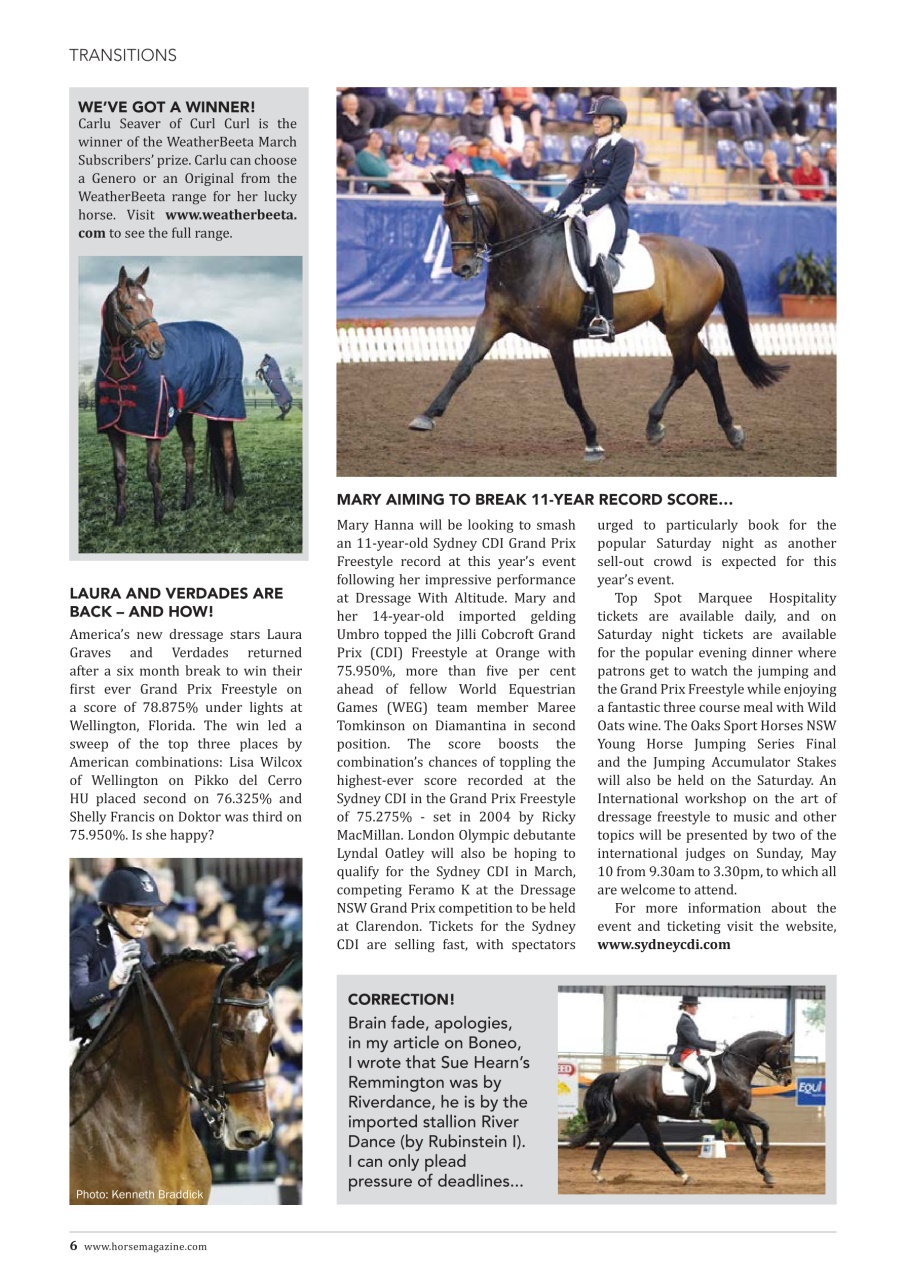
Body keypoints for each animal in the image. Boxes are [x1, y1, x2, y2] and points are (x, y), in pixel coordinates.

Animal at [95, 267, 245, 525]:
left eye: (151, 303)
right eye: (128, 306)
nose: (158, 346)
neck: (123, 372)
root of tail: (230, 337)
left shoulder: (153, 426)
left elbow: (153, 470)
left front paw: (158, 515)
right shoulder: (114, 429)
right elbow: (119, 471)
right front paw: (120, 517)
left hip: (224, 410)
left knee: (227, 452)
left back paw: (228, 502)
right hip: (184, 414)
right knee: (190, 451)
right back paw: (188, 501)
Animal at [409, 173, 787, 459]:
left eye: (463, 216)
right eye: (445, 220)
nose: (463, 269)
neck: (529, 255)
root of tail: (704, 251)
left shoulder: (558, 340)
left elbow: (572, 392)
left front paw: (592, 440)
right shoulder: (492, 323)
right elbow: (463, 367)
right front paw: (426, 416)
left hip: (680, 329)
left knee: (685, 367)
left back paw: (657, 424)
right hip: (673, 325)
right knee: (707, 365)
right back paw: (729, 430)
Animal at [568, 1031, 794, 1187]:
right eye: (784, 1052)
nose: (788, 1081)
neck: (734, 1069)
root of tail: (621, 1075)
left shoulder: (737, 1115)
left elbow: (751, 1143)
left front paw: (765, 1173)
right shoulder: (734, 1111)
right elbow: (764, 1125)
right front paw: (763, 1162)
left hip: (629, 1117)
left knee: (607, 1140)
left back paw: (598, 1175)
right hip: (645, 1115)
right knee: (656, 1146)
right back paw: (685, 1176)